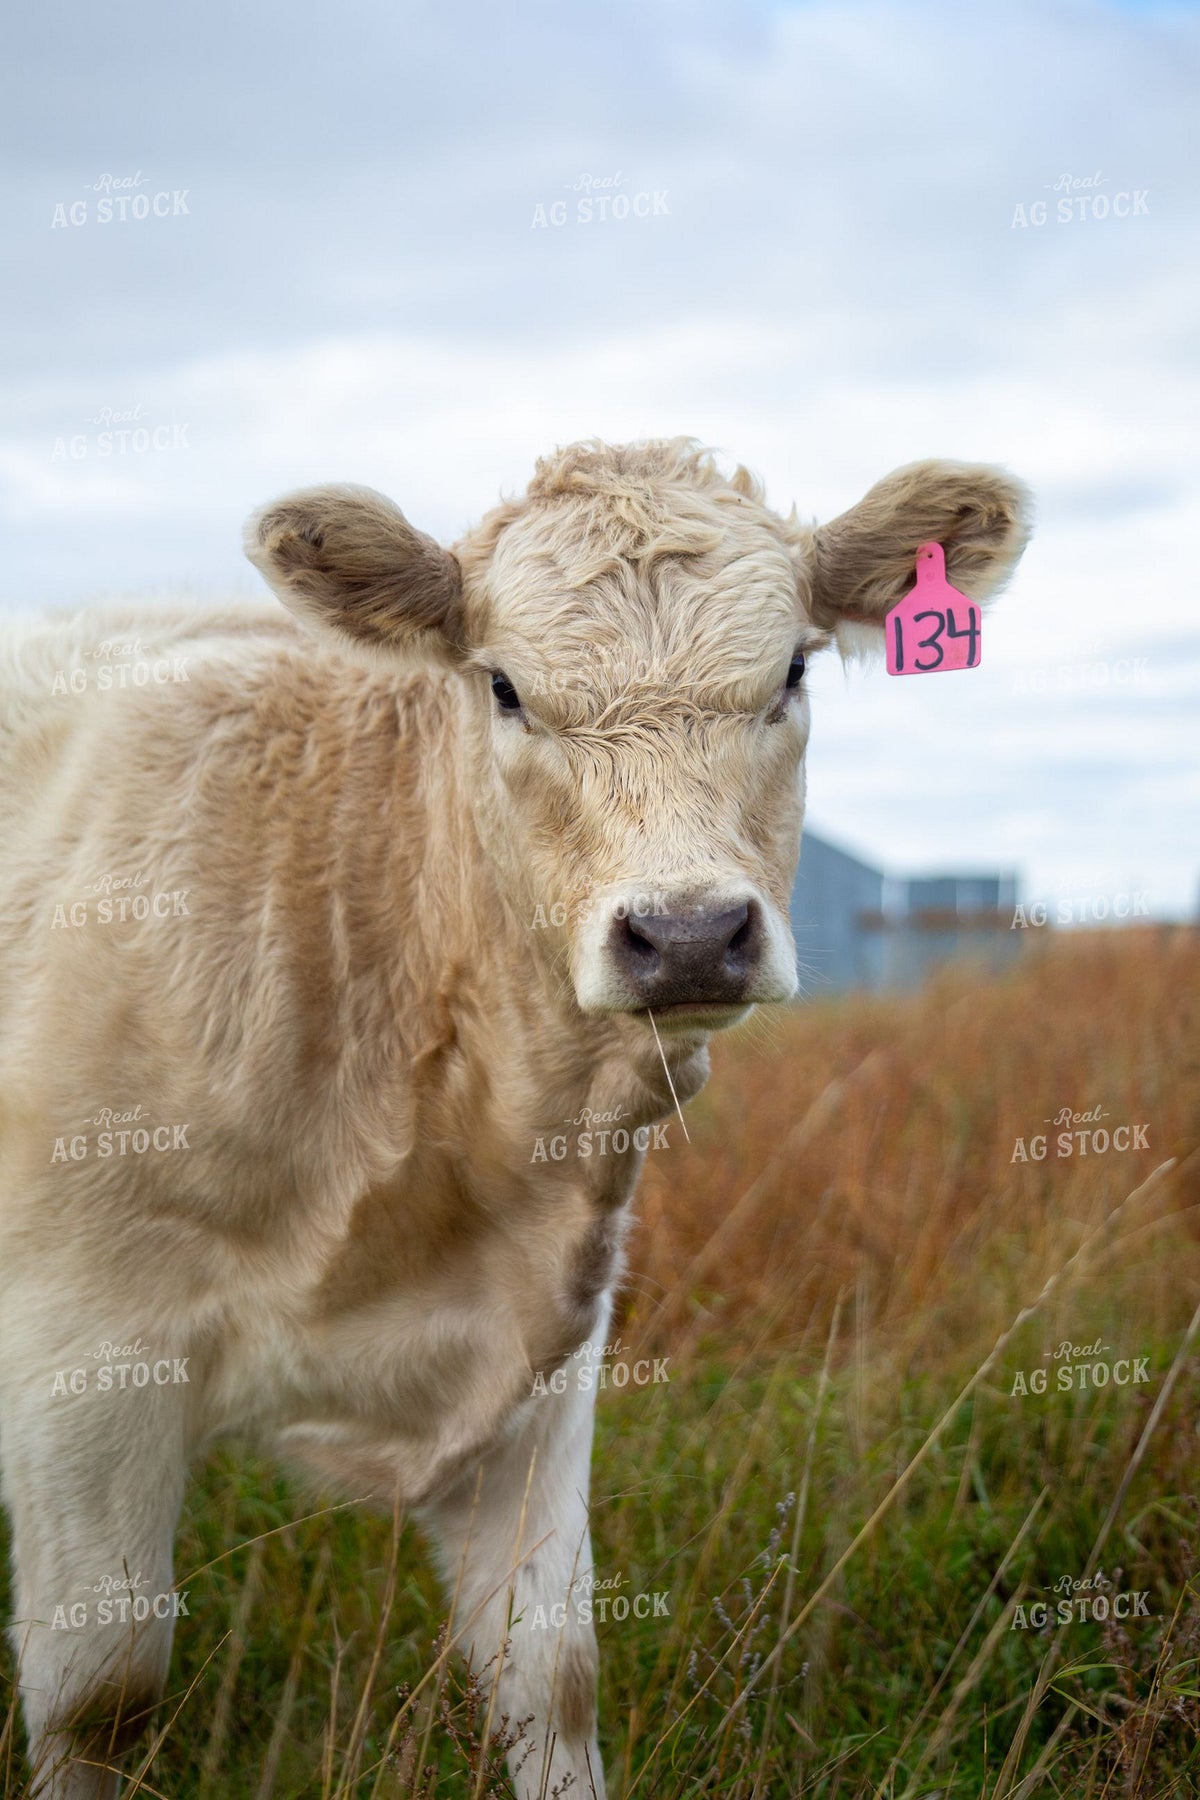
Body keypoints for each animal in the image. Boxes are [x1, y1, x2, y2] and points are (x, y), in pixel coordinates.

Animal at [0, 438, 1031, 1798]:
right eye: (503, 687)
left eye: (794, 672)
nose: (688, 933)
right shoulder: (81, 1352)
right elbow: (99, 1690)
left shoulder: (544, 1355)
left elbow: (555, 1669)